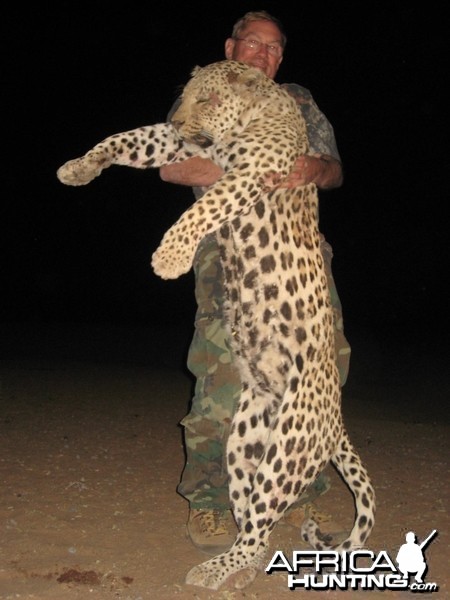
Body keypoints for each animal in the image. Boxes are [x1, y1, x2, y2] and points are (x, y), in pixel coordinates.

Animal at [58, 58, 374, 588]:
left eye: (207, 98)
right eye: (185, 97)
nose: (181, 118)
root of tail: (336, 419)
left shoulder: (251, 172)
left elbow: (203, 207)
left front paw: (169, 257)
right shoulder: (183, 145)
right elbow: (127, 137)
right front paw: (77, 167)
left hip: (289, 447)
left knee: (263, 514)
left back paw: (215, 571)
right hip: (246, 440)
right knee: (254, 520)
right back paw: (237, 567)